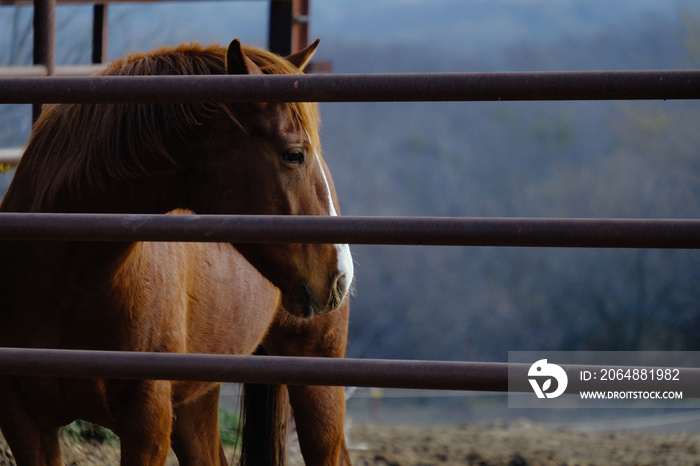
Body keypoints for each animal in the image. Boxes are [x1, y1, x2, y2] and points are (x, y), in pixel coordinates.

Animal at [0, 40, 352, 466]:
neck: (67, 282)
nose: (341, 274)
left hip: (317, 375)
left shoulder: (147, 422)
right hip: (194, 401)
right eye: (294, 154)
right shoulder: (24, 422)